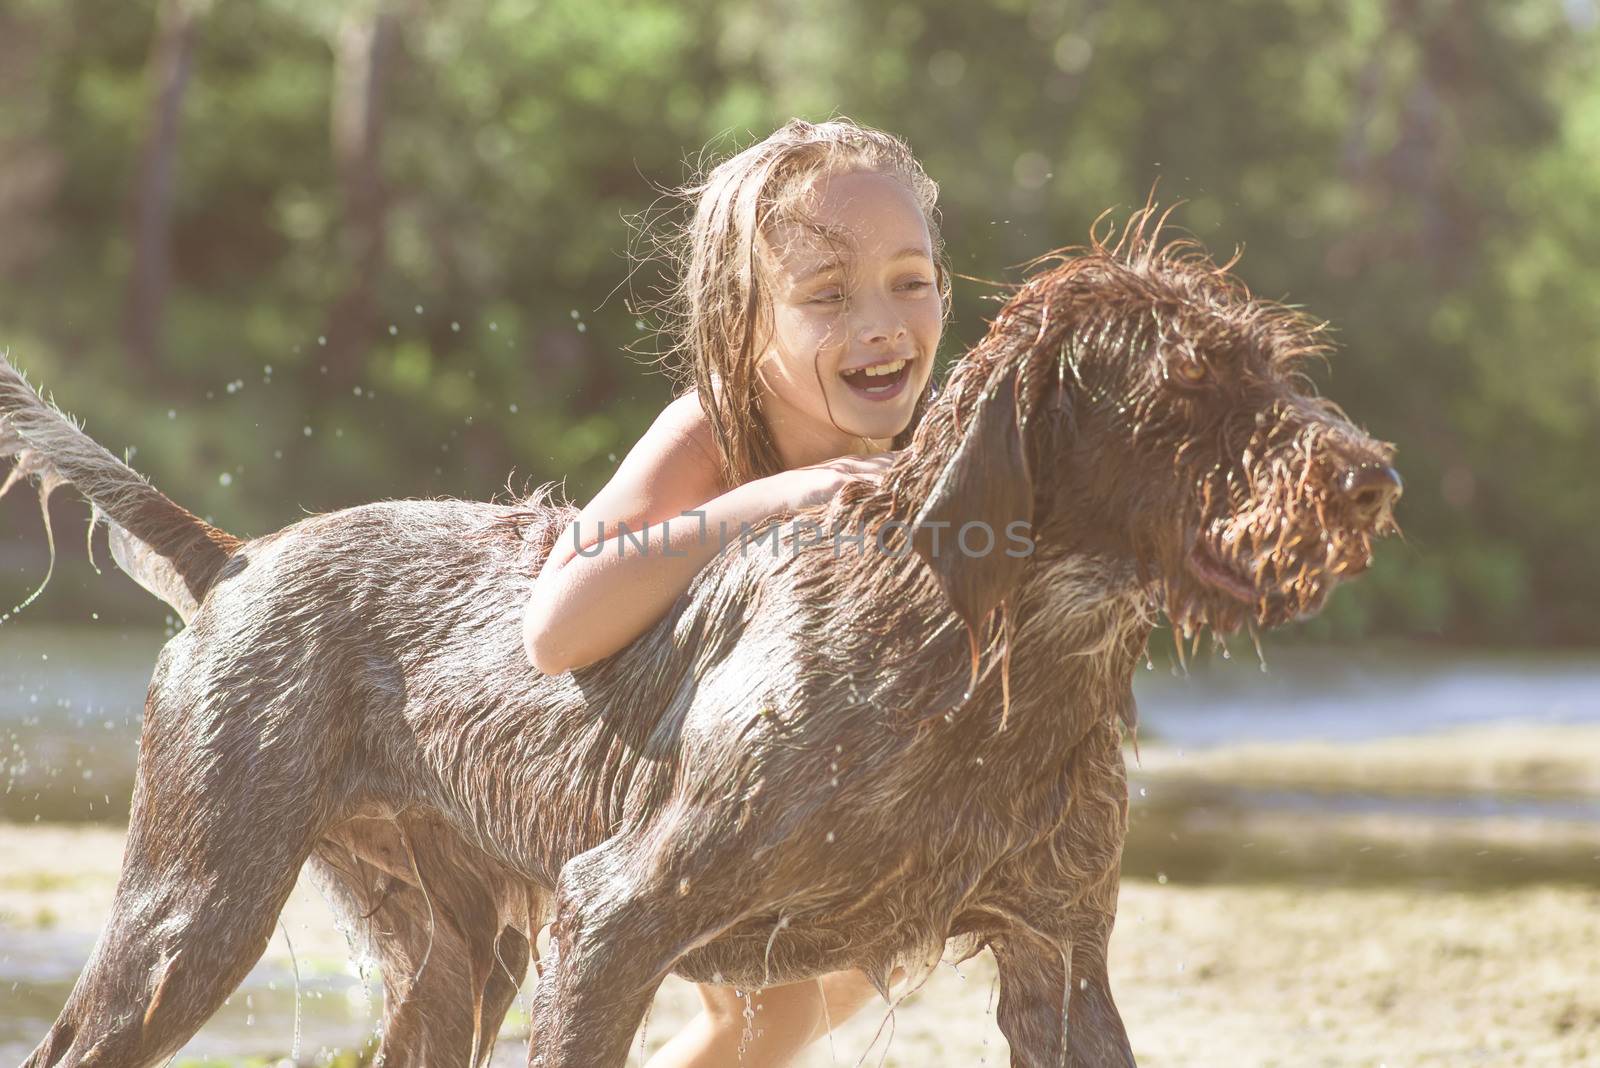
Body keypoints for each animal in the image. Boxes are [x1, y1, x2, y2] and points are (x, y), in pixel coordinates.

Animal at [3, 204, 1401, 1061]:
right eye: (1186, 388)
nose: (1371, 478)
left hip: (452, 958)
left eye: (1275, 364)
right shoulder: (611, 915)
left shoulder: (1058, 953)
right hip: (195, 911)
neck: (981, 656)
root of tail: (237, 558)